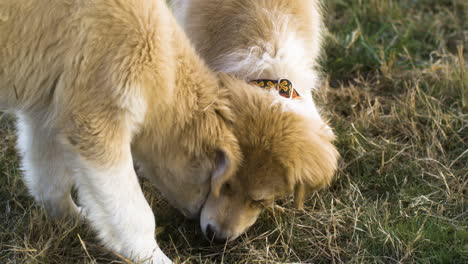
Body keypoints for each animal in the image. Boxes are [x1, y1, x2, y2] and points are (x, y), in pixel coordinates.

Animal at [0, 1, 241, 262]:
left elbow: (48, 175)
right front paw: (153, 255)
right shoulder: (100, 107)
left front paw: (76, 217)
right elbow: (133, 211)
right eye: (218, 184)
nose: (215, 235)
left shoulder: (51, 103)